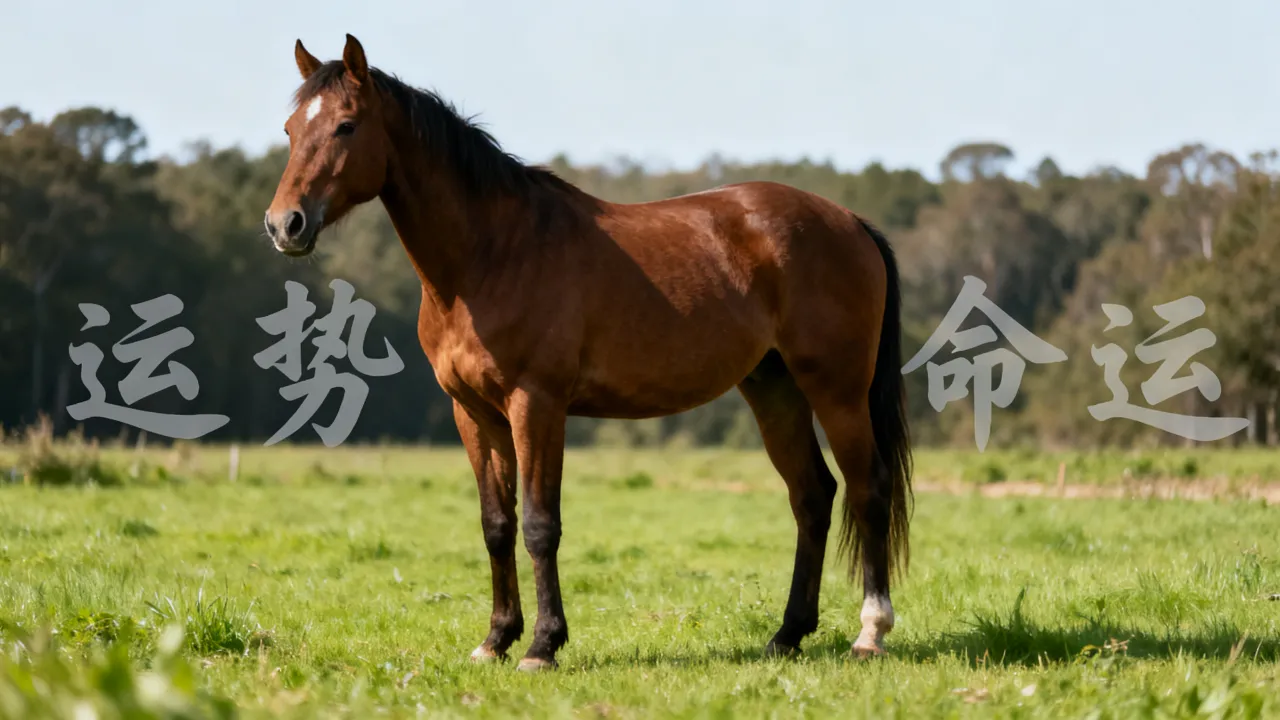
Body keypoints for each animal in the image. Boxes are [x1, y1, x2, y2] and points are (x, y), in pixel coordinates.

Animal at [265, 34, 913, 672]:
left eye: (346, 125)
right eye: (291, 129)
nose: (283, 225)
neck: (491, 254)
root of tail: (849, 221)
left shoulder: (537, 405)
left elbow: (539, 524)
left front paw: (542, 645)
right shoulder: (473, 413)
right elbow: (496, 524)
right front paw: (495, 639)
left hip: (837, 390)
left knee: (868, 489)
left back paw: (870, 633)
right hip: (774, 390)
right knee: (813, 496)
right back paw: (786, 635)